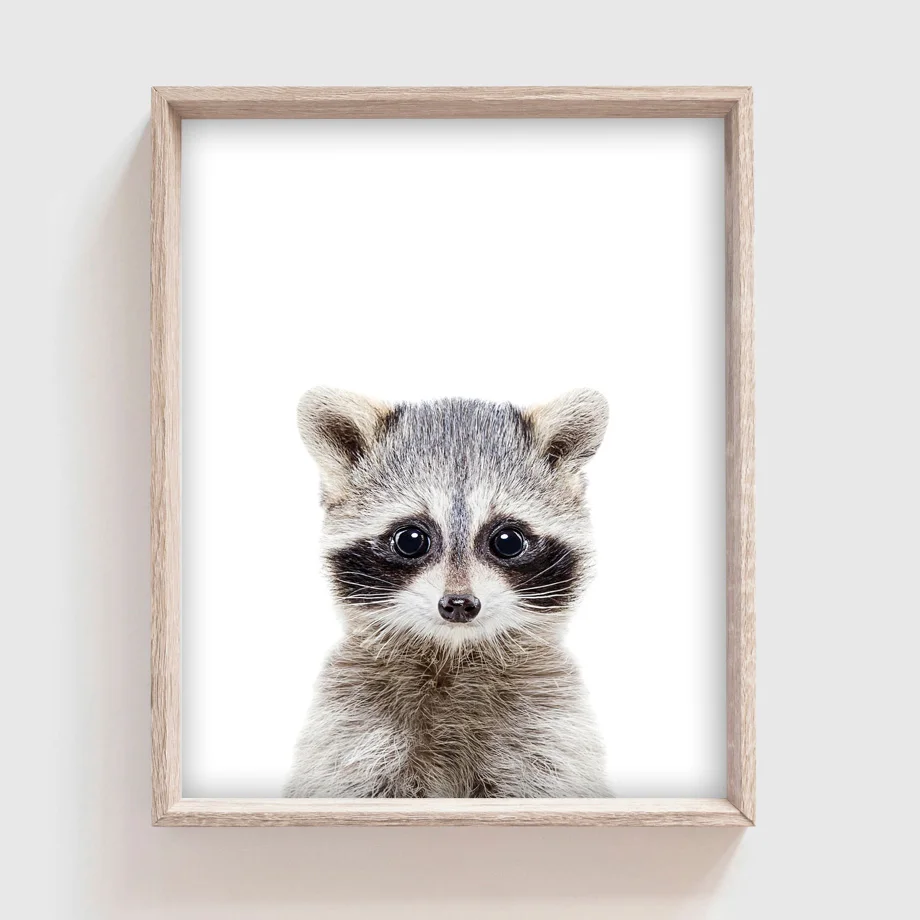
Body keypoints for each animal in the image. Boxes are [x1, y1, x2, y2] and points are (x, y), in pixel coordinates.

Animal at [283, 387, 611, 798]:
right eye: (410, 540)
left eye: (507, 540)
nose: (459, 604)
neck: (451, 654)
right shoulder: (353, 725)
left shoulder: (547, 726)